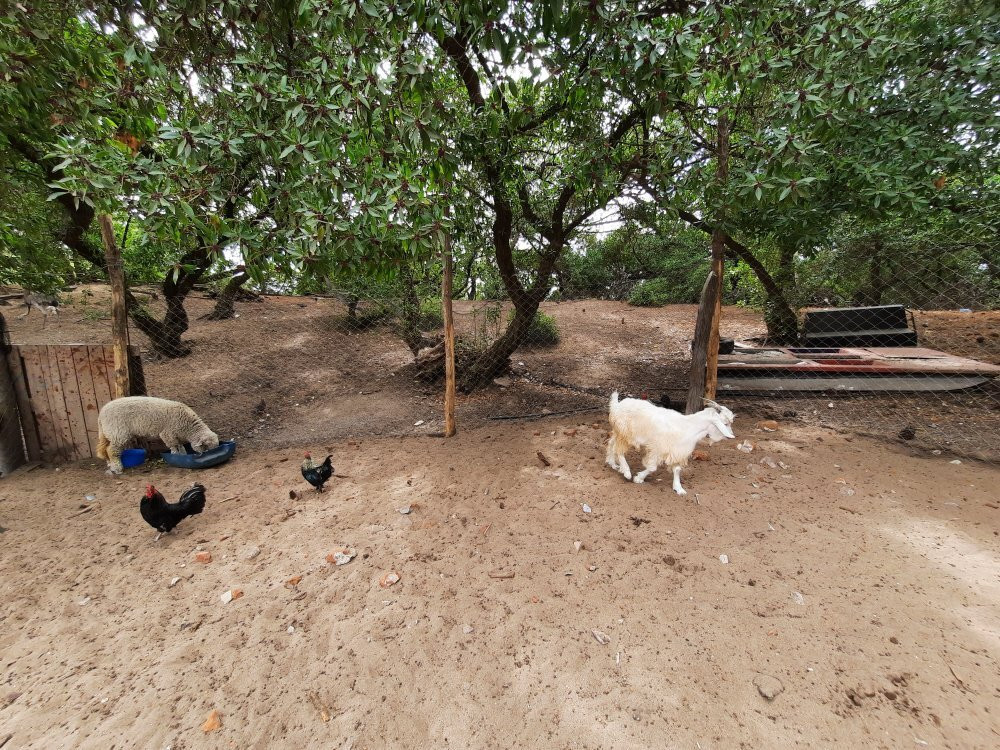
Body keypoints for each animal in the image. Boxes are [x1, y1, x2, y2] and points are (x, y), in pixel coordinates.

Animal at [600, 394, 736, 494]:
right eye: (725, 423)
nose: (731, 436)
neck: (688, 426)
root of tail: (617, 405)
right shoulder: (657, 448)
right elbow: (652, 467)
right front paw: (638, 478)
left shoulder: (677, 451)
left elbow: (677, 469)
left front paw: (678, 488)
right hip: (626, 433)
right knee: (619, 450)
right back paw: (627, 472)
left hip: (619, 432)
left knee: (612, 444)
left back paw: (613, 464)